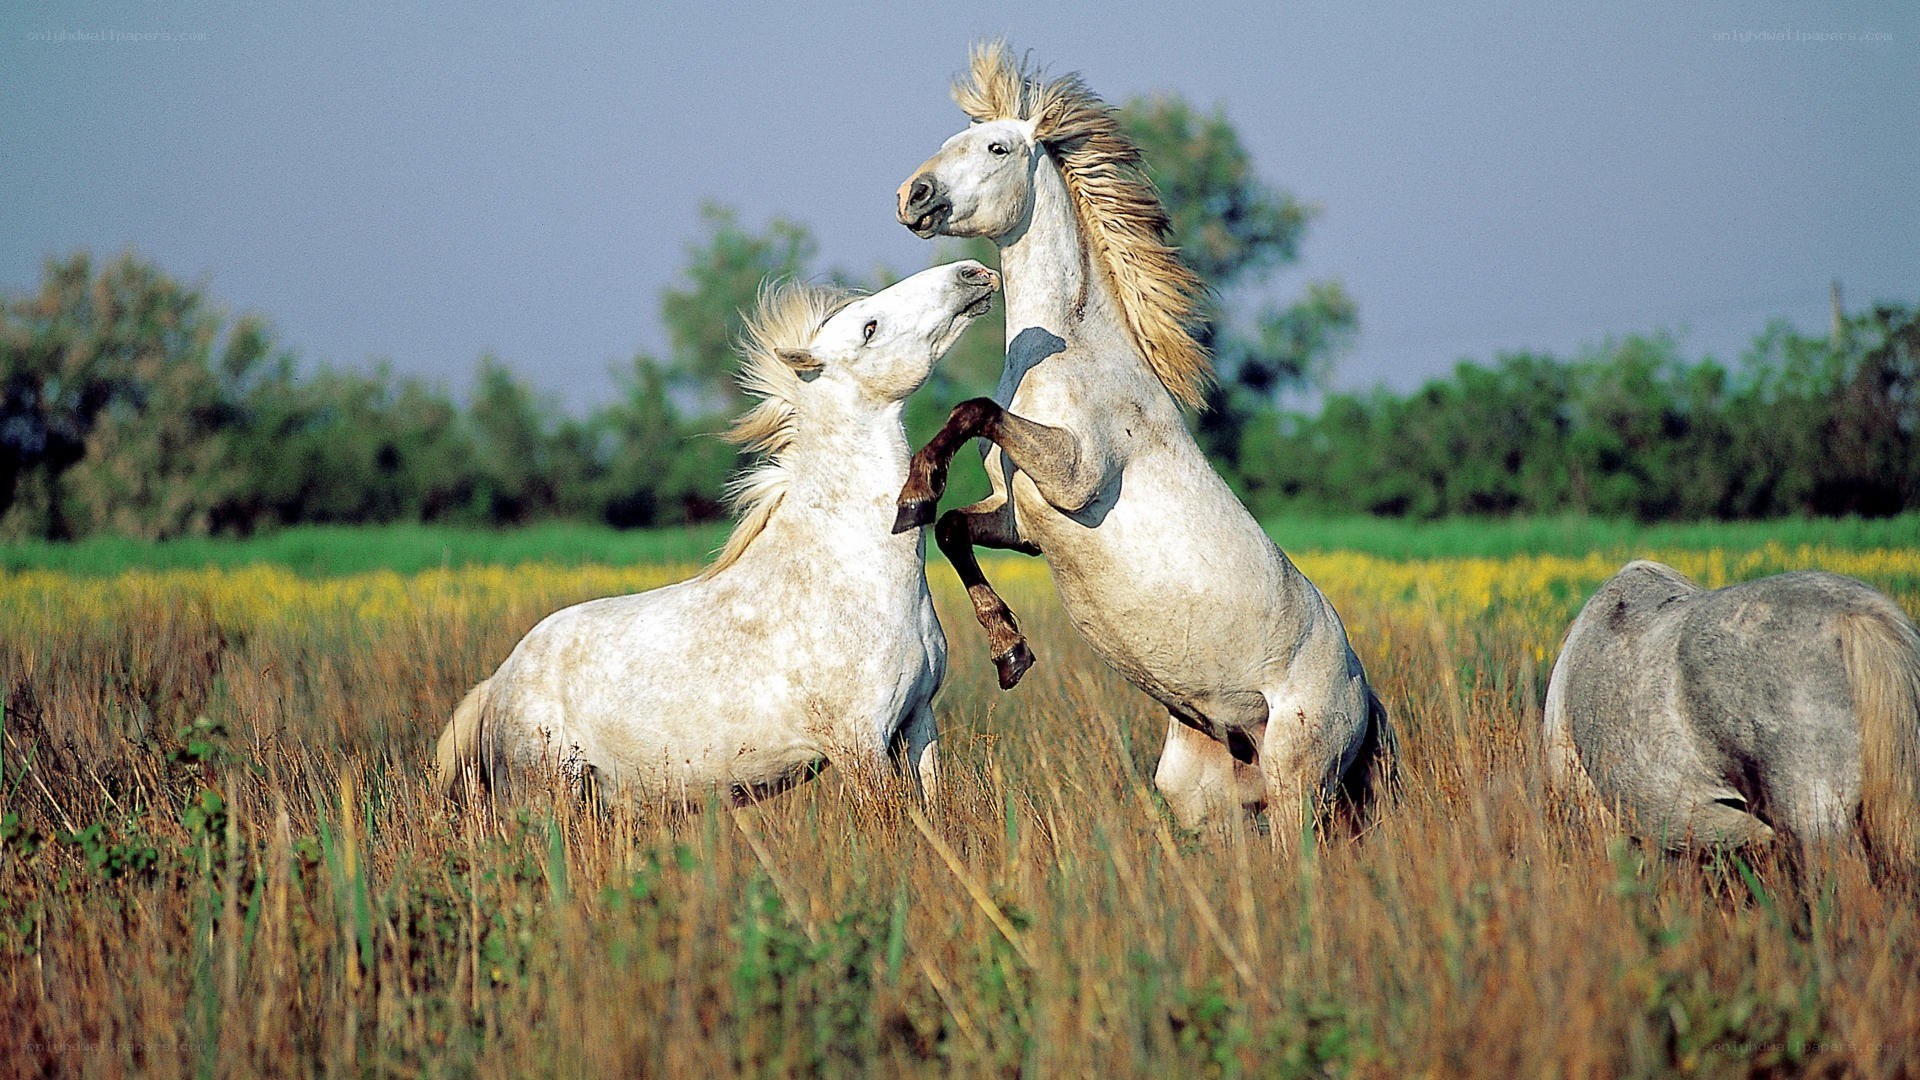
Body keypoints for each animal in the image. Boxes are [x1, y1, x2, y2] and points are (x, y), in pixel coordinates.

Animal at [434, 261, 1002, 807]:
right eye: (870, 327)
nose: (973, 273)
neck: (852, 574)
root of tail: (497, 683)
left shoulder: (919, 721)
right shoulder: (859, 743)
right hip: (545, 796)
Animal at [888, 43, 1394, 834]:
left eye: (997, 148)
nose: (913, 196)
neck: (1073, 355)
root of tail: (1365, 698)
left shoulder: (1076, 477)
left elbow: (972, 411)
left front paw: (914, 490)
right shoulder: (1024, 519)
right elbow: (949, 529)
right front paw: (1010, 654)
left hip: (1298, 785)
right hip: (1205, 795)